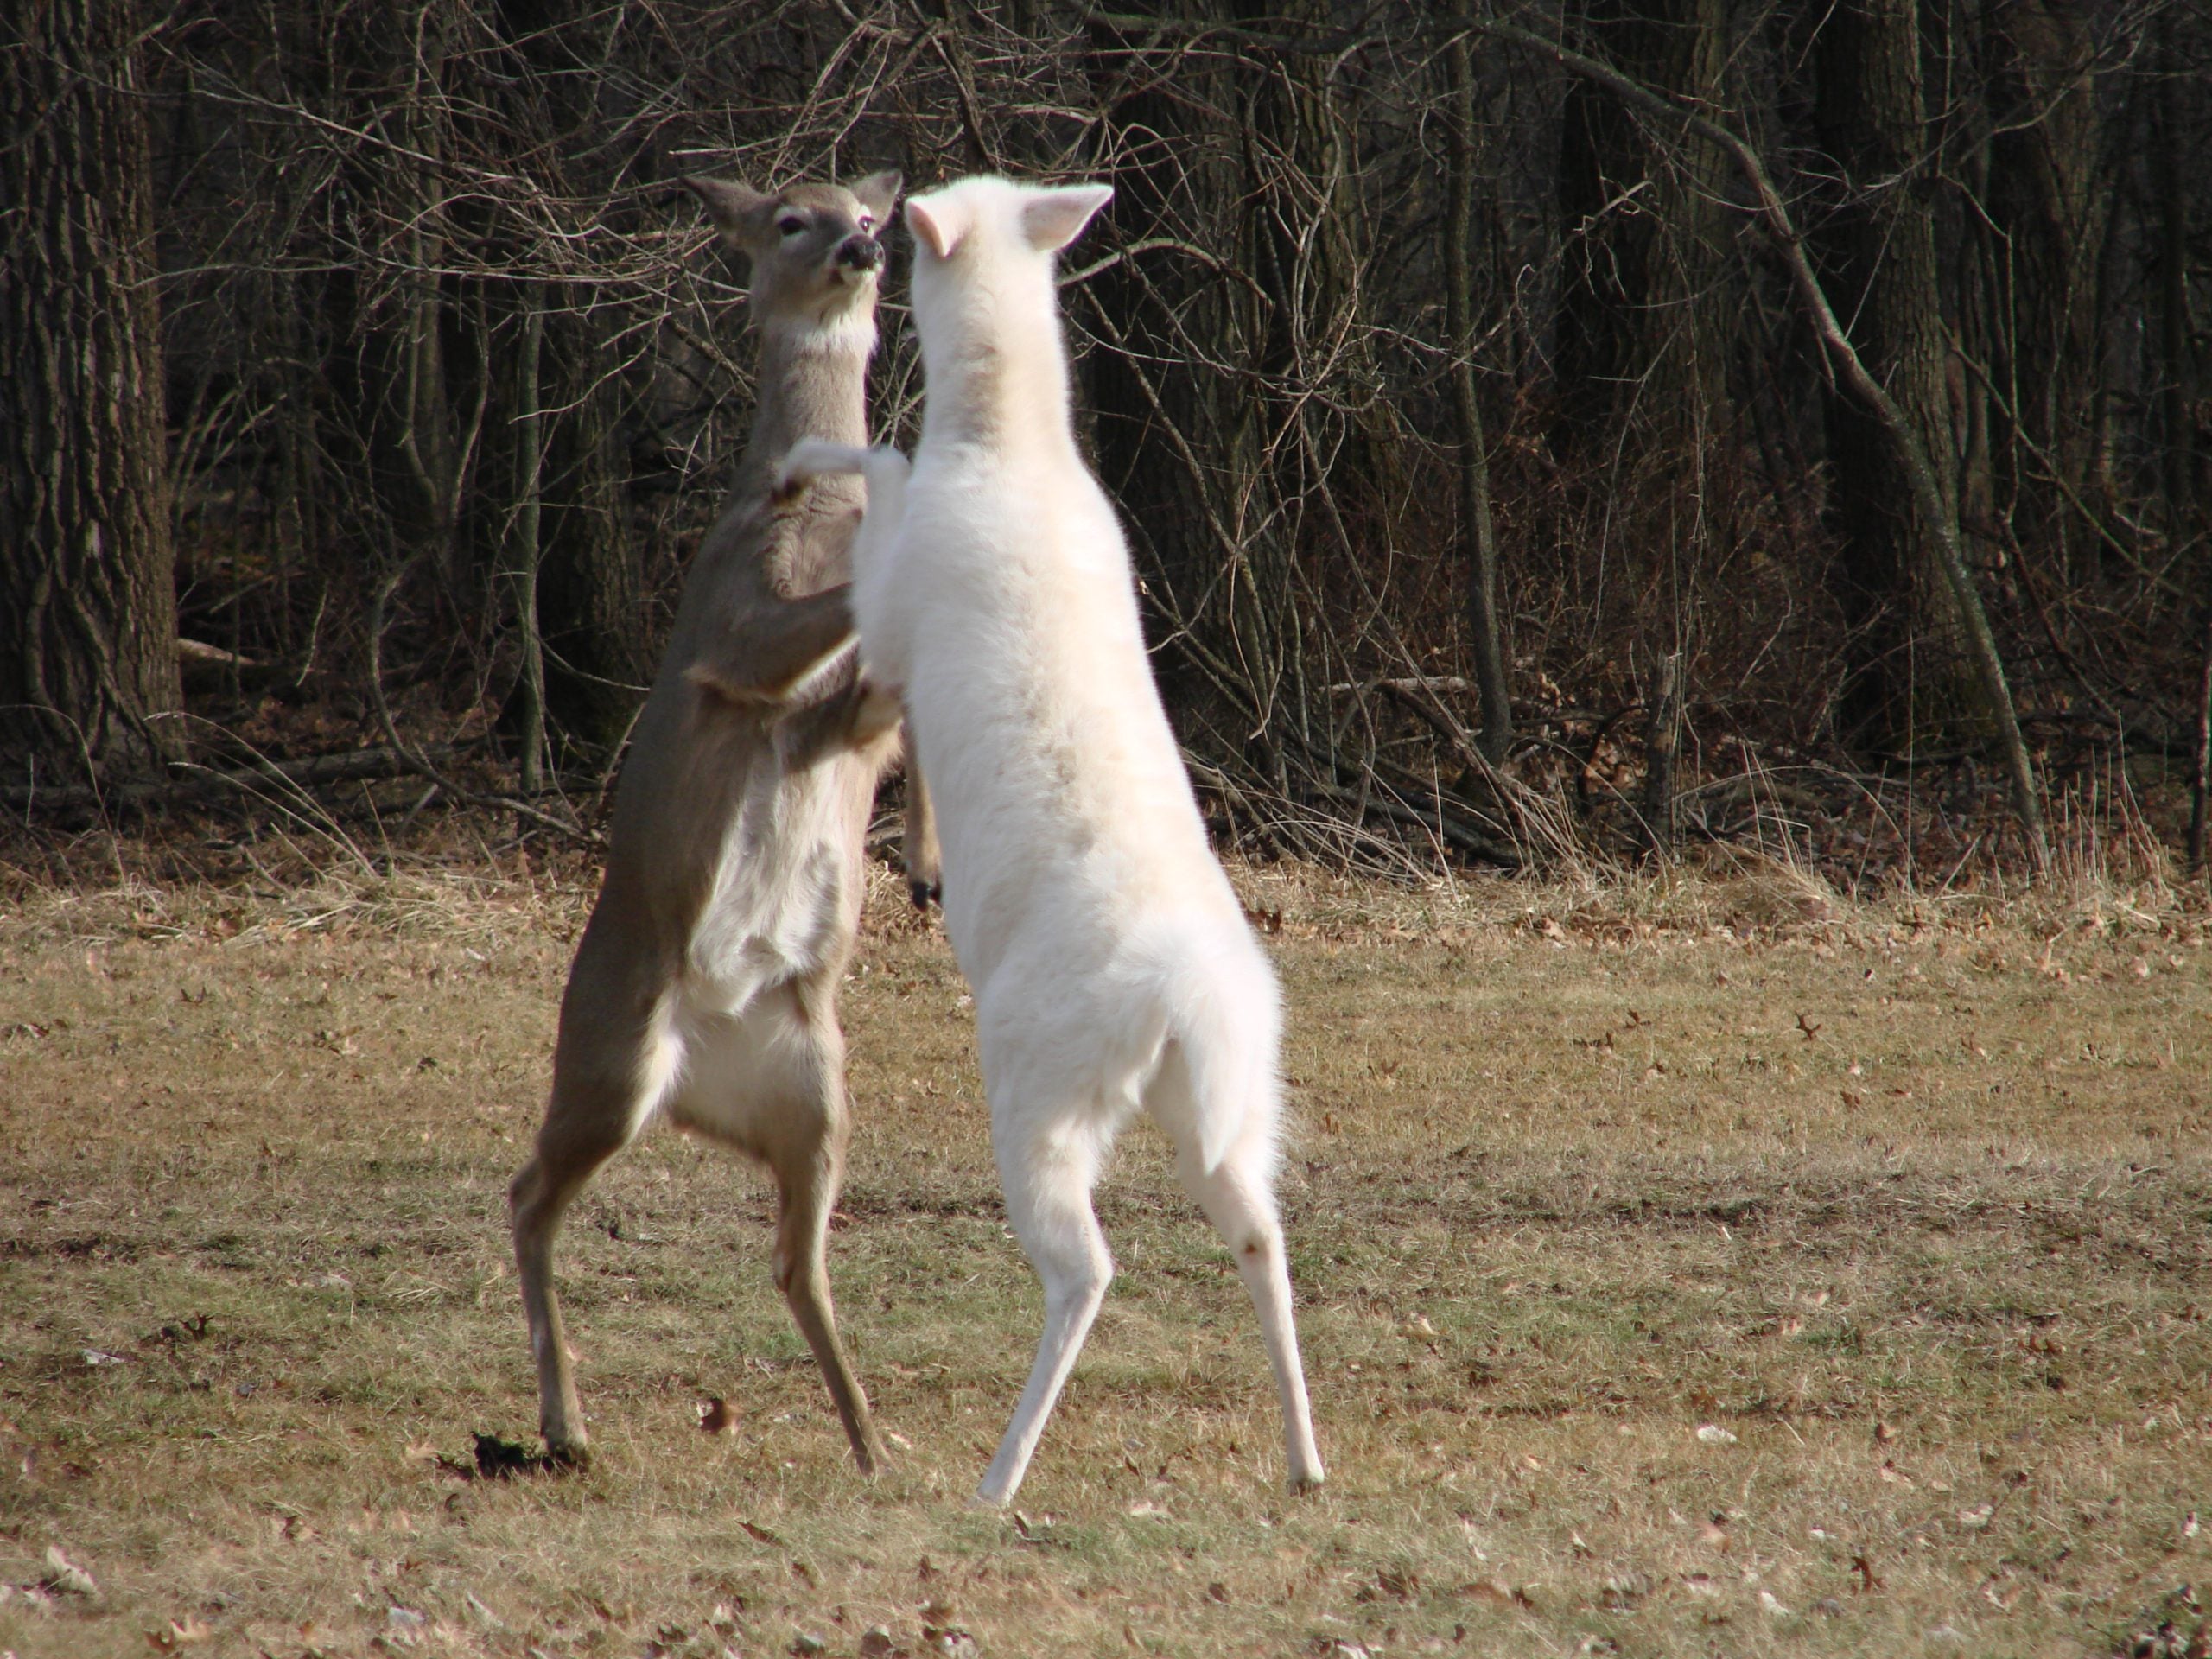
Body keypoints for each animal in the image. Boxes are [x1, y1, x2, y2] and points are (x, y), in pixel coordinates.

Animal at [507, 169, 933, 1477]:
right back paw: (566, 1423)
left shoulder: (848, 716)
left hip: (813, 1085)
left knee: (794, 1259)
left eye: (867, 210)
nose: (863, 244)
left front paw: (930, 868)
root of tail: (709, 1063)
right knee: (526, 1194)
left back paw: (876, 1444)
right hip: (609, 1053)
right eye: (790, 218)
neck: (813, 493)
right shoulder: (738, 632)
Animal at [779, 174, 1325, 1506]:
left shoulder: (891, 614)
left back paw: (998, 1475)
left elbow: (883, 464)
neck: (1010, 449)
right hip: (1235, 1097)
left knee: (1087, 1266)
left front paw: (803, 457)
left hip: (1041, 1086)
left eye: (913, 223)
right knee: (1262, 1229)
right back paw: (1304, 1458)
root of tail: (1186, 1008)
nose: (878, 224)